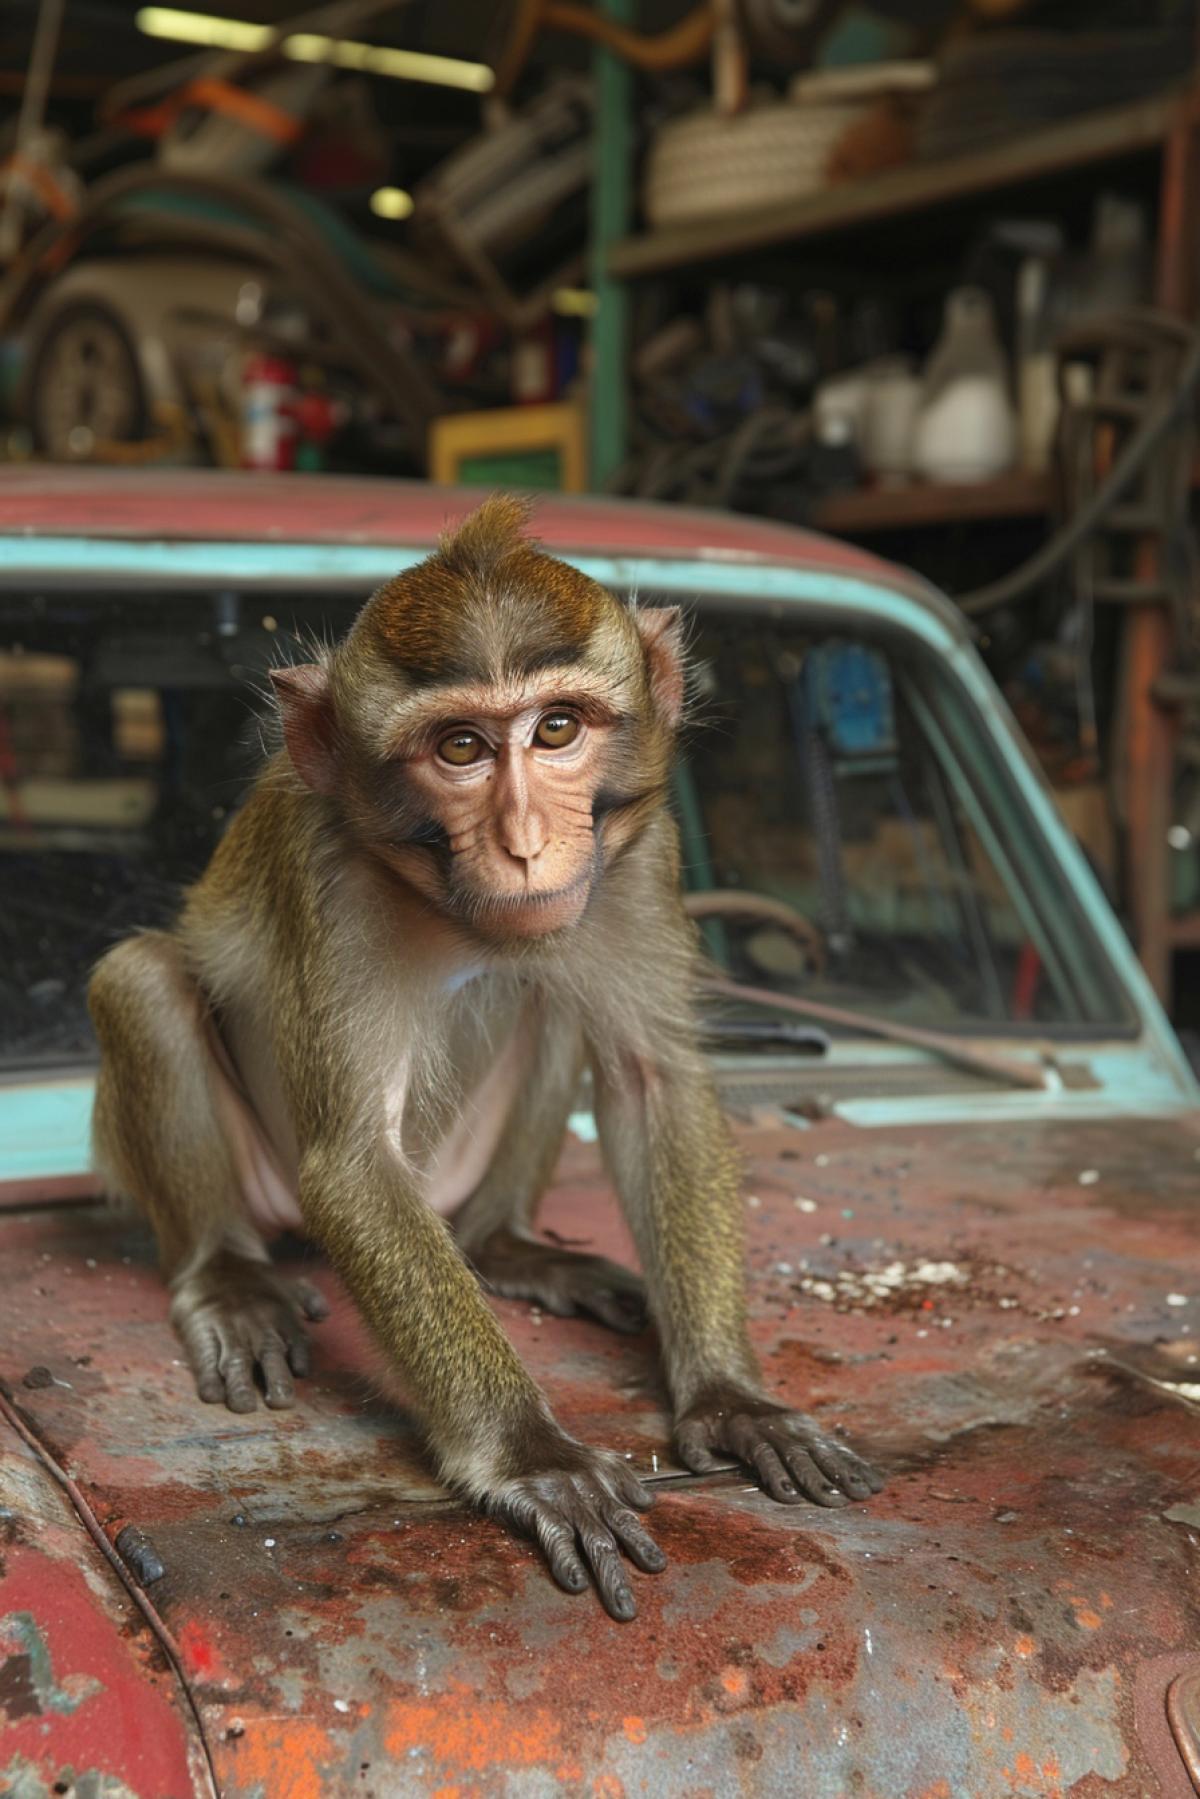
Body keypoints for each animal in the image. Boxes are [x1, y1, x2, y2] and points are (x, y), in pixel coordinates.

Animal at [87, 496, 882, 1620]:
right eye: (458, 746)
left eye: (557, 728)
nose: (523, 842)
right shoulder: (331, 880)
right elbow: (354, 1162)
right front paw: (532, 1453)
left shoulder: (640, 854)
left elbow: (652, 1081)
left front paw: (733, 1396)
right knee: (145, 978)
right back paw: (229, 1277)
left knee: (550, 995)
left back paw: (508, 1246)